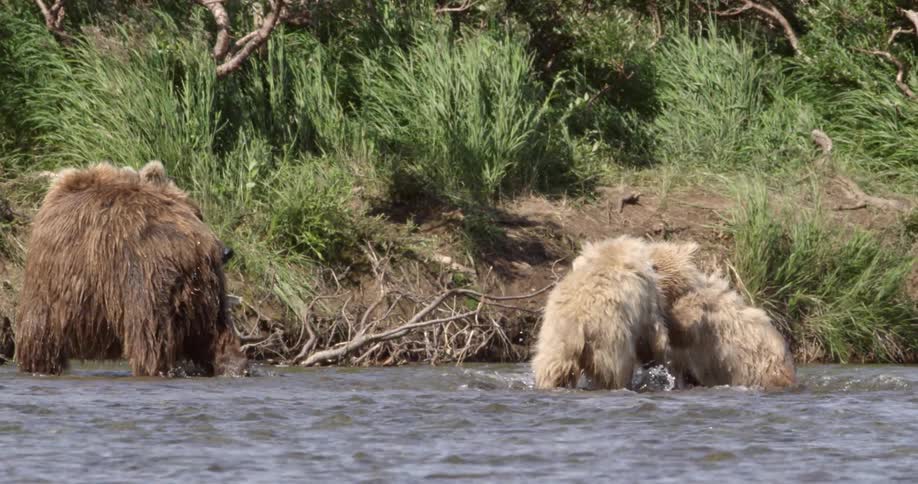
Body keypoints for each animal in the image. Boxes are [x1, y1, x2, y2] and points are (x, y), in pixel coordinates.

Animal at [14, 161, 247, 377]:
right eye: (199, 214)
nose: (227, 252)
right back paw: (233, 366)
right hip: (210, 294)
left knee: (150, 342)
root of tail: (198, 253)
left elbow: (40, 334)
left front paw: (38, 364)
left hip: (146, 286)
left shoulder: (52, 271)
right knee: (218, 336)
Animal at [533, 235, 672, 390]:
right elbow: (653, 332)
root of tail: (577, 327)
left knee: (551, 370)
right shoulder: (646, 298)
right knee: (616, 373)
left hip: (555, 343)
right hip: (608, 341)